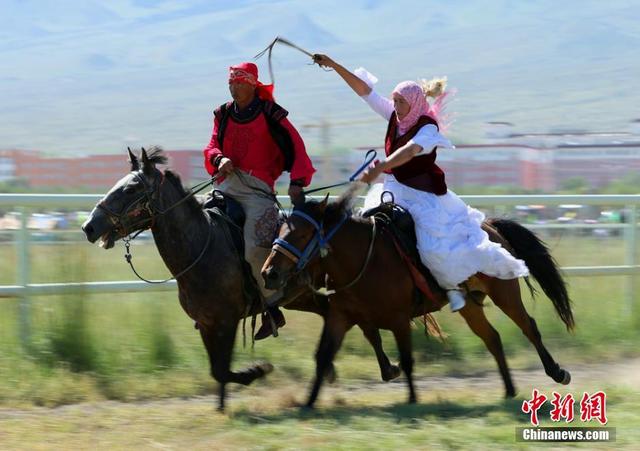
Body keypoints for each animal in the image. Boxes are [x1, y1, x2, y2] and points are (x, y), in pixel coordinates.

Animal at [262, 191, 576, 410]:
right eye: (279, 230)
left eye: (303, 233)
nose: (269, 273)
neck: (365, 258)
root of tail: (490, 225)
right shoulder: (340, 318)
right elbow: (323, 356)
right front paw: (308, 403)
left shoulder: (400, 320)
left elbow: (408, 359)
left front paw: (412, 401)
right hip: (470, 305)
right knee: (492, 338)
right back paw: (509, 390)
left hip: (505, 293)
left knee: (528, 327)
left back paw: (557, 372)